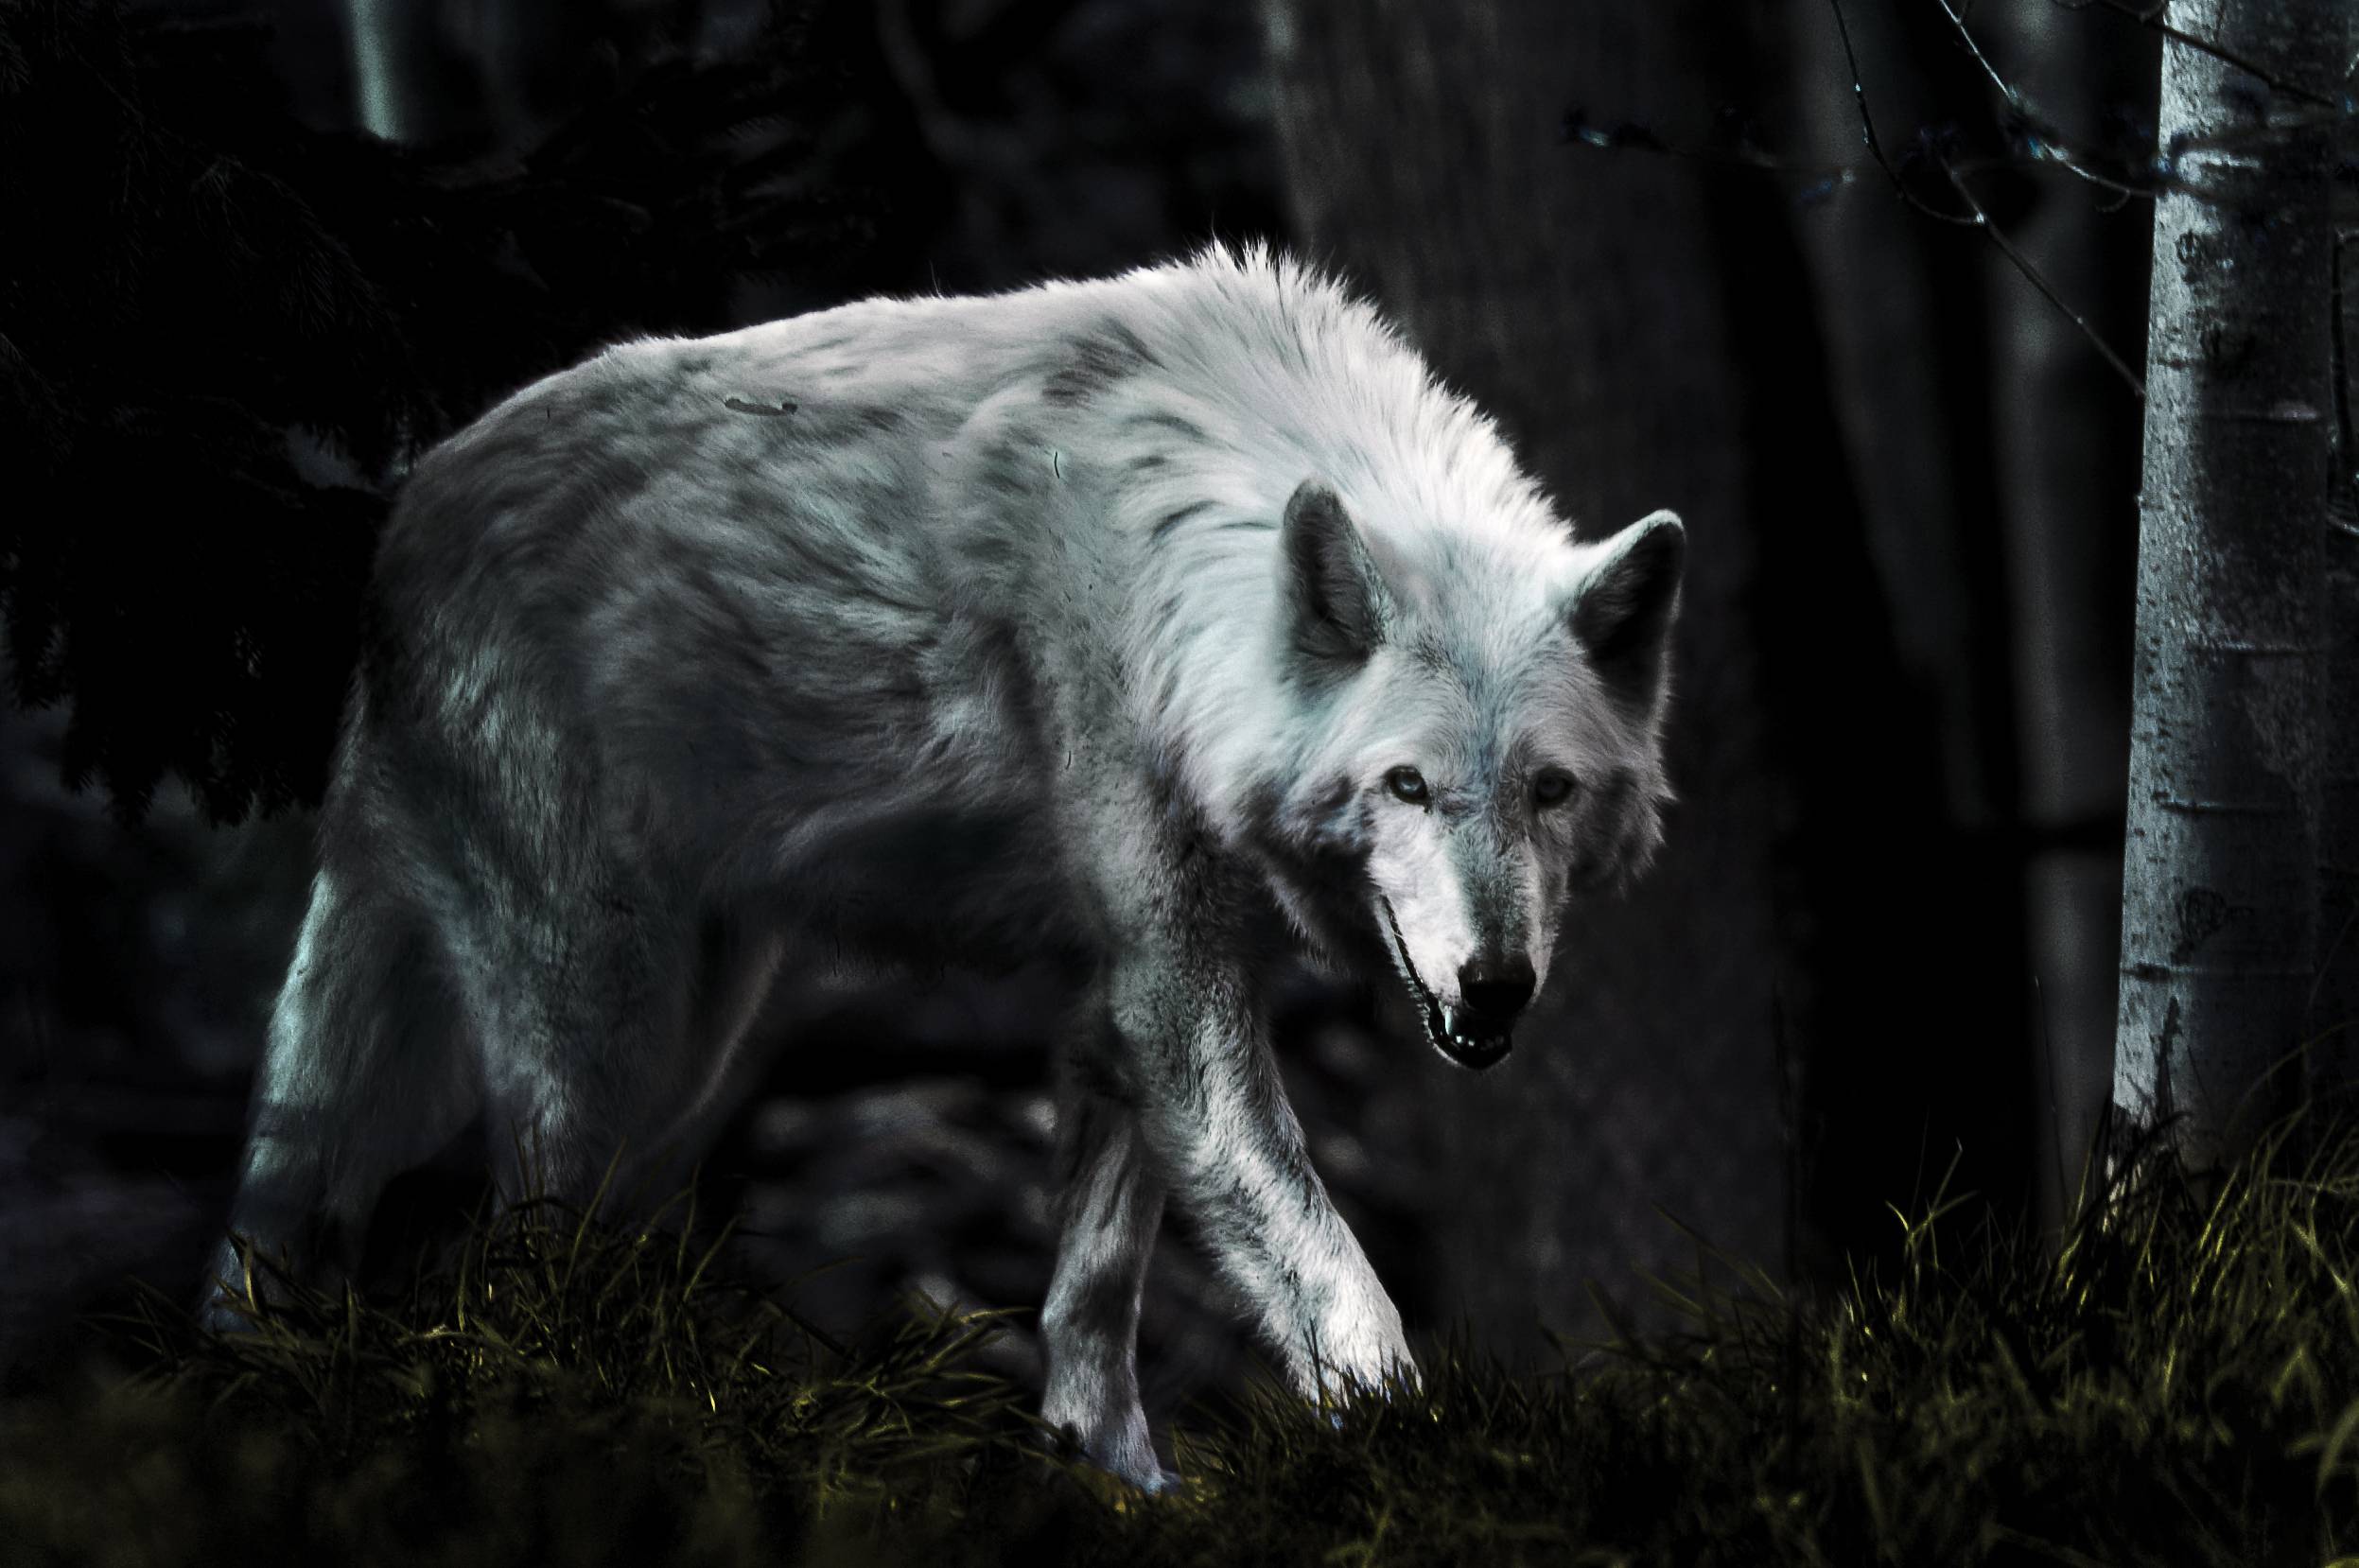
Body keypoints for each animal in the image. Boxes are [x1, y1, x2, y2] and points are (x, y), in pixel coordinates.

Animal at [200, 244, 1685, 1492]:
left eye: (1548, 790)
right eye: (1405, 785)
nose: (1494, 987)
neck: (1182, 558)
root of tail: (399, 528)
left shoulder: (1124, 1005)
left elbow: (1092, 1299)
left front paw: (1112, 1482)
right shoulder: (1175, 999)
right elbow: (1336, 1276)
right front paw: (1417, 1463)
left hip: (695, 1054)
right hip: (596, 1043)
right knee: (510, 1263)